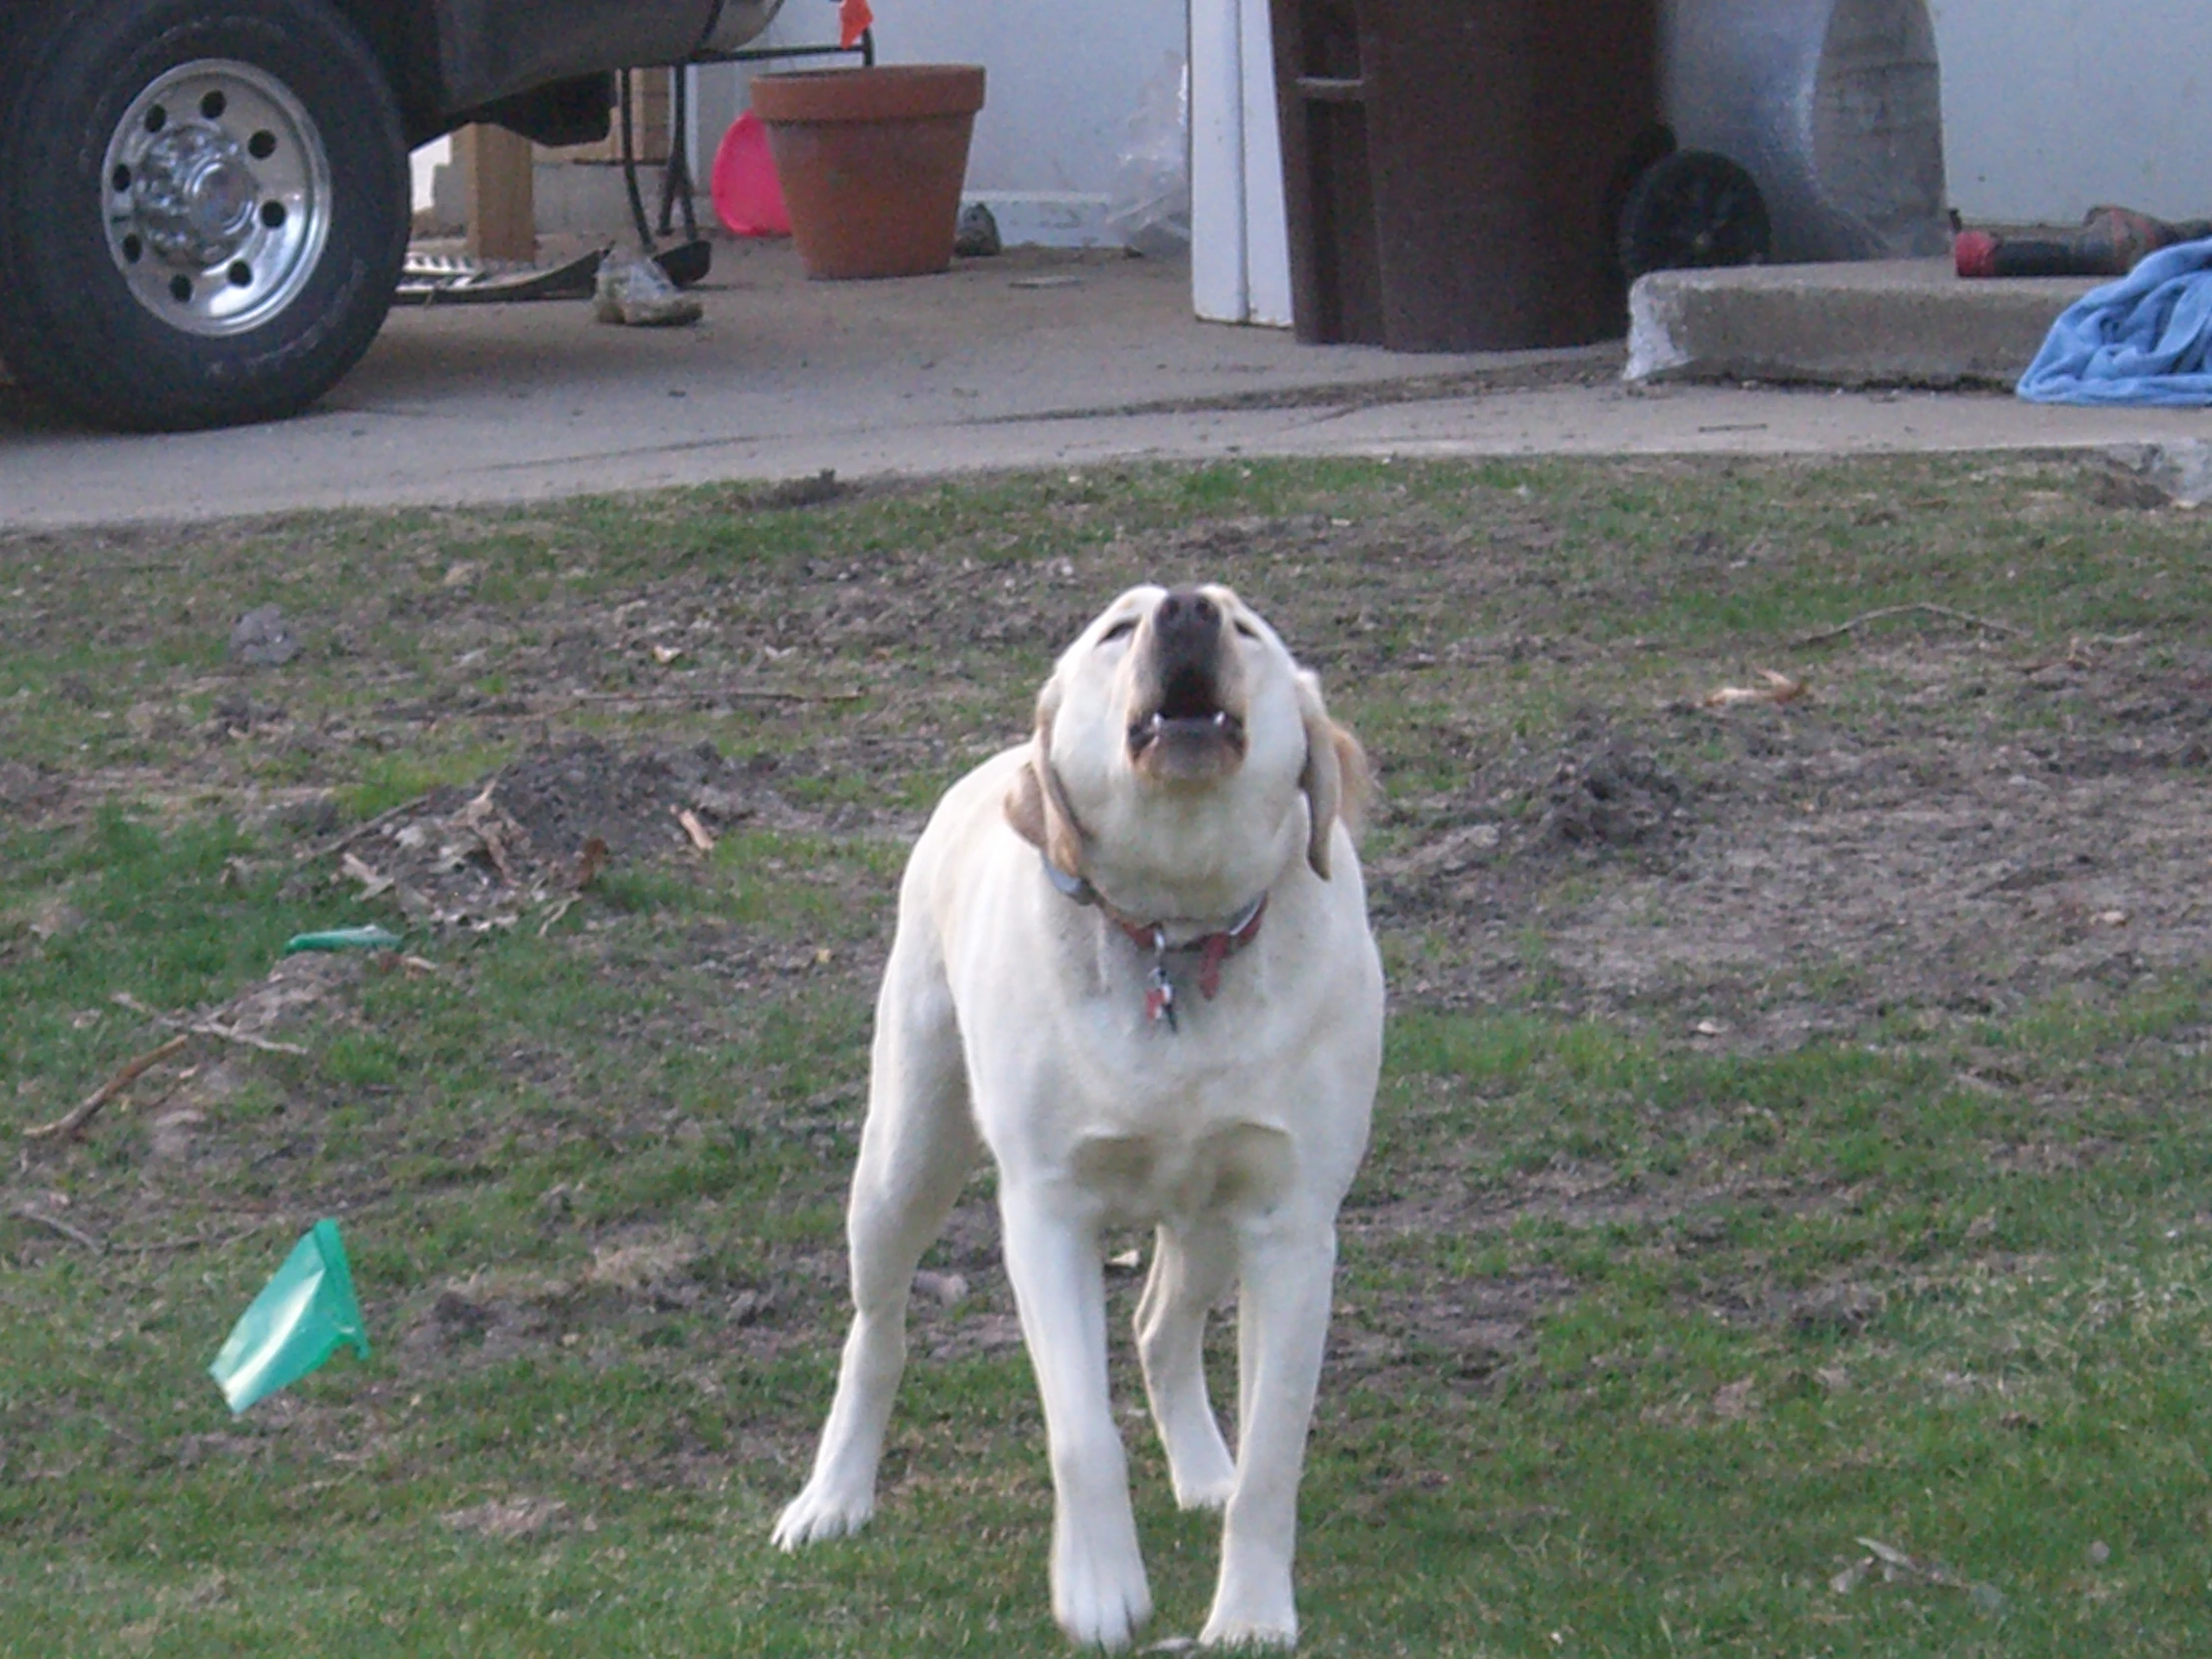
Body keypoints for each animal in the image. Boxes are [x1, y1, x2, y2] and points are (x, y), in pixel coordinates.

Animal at [770, 584, 1371, 1654]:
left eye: (1244, 628)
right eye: (1118, 630)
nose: (1187, 608)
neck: (1176, 931)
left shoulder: (1292, 1222)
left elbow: (1274, 1454)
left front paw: (1251, 1611)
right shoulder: (1046, 1210)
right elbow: (1081, 1433)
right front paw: (1100, 1592)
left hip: (1212, 1215)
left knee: (1159, 1324)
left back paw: (1204, 1473)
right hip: (904, 1157)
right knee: (875, 1331)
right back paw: (833, 1497)